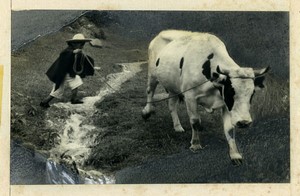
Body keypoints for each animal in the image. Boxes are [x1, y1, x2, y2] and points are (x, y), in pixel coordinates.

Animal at [141, 29, 270, 165]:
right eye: (230, 92)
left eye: (252, 93)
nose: (244, 122)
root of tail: (162, 33)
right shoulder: (190, 97)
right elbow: (194, 121)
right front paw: (195, 144)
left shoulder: (225, 104)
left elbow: (229, 129)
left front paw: (235, 154)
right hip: (152, 74)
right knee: (150, 91)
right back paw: (146, 112)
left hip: (172, 86)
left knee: (171, 105)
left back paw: (178, 126)